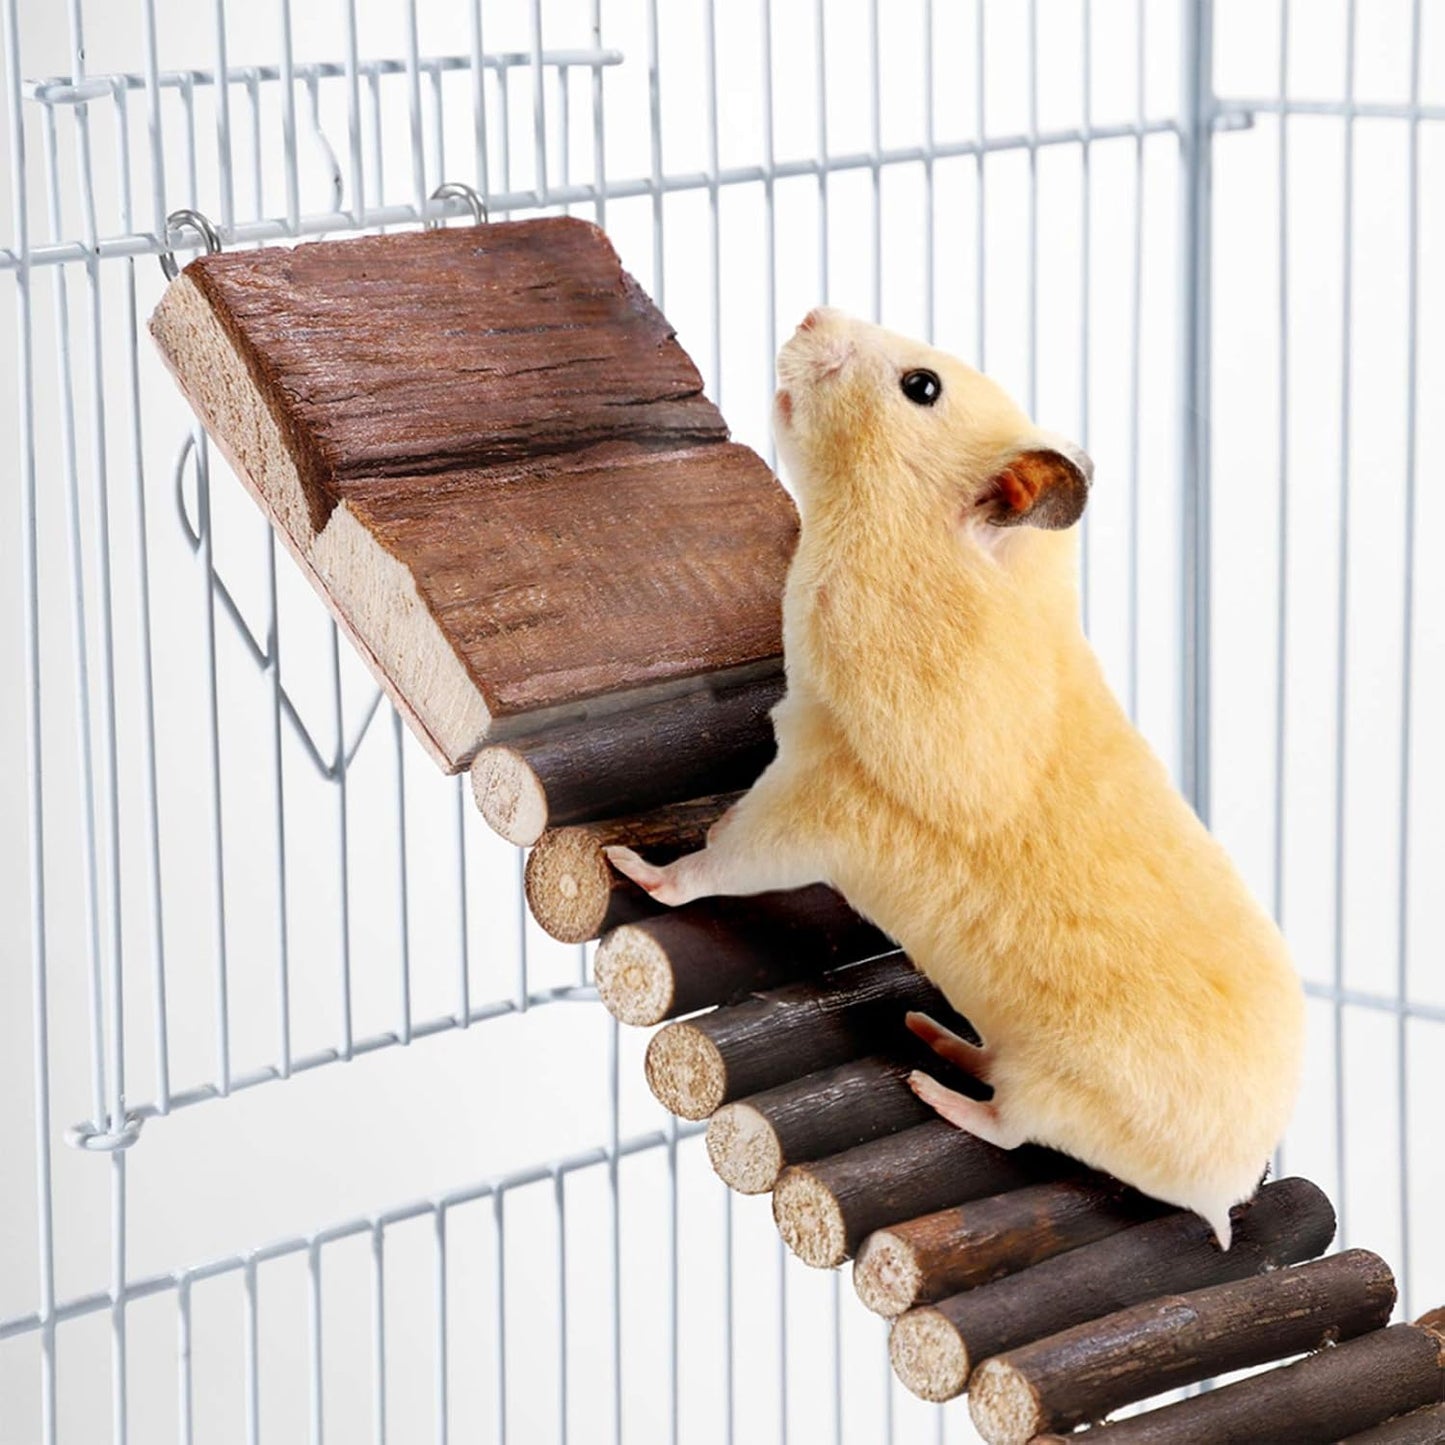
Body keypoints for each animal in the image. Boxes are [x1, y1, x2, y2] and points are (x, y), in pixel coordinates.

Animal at [608, 306, 1304, 1248]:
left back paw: (931, 1077)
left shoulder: (824, 796)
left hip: (1059, 1092)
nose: (809, 313)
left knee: (1006, 1124)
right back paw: (933, 1030)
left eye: (921, 385)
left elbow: (717, 861)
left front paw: (630, 864)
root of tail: (1230, 1189)